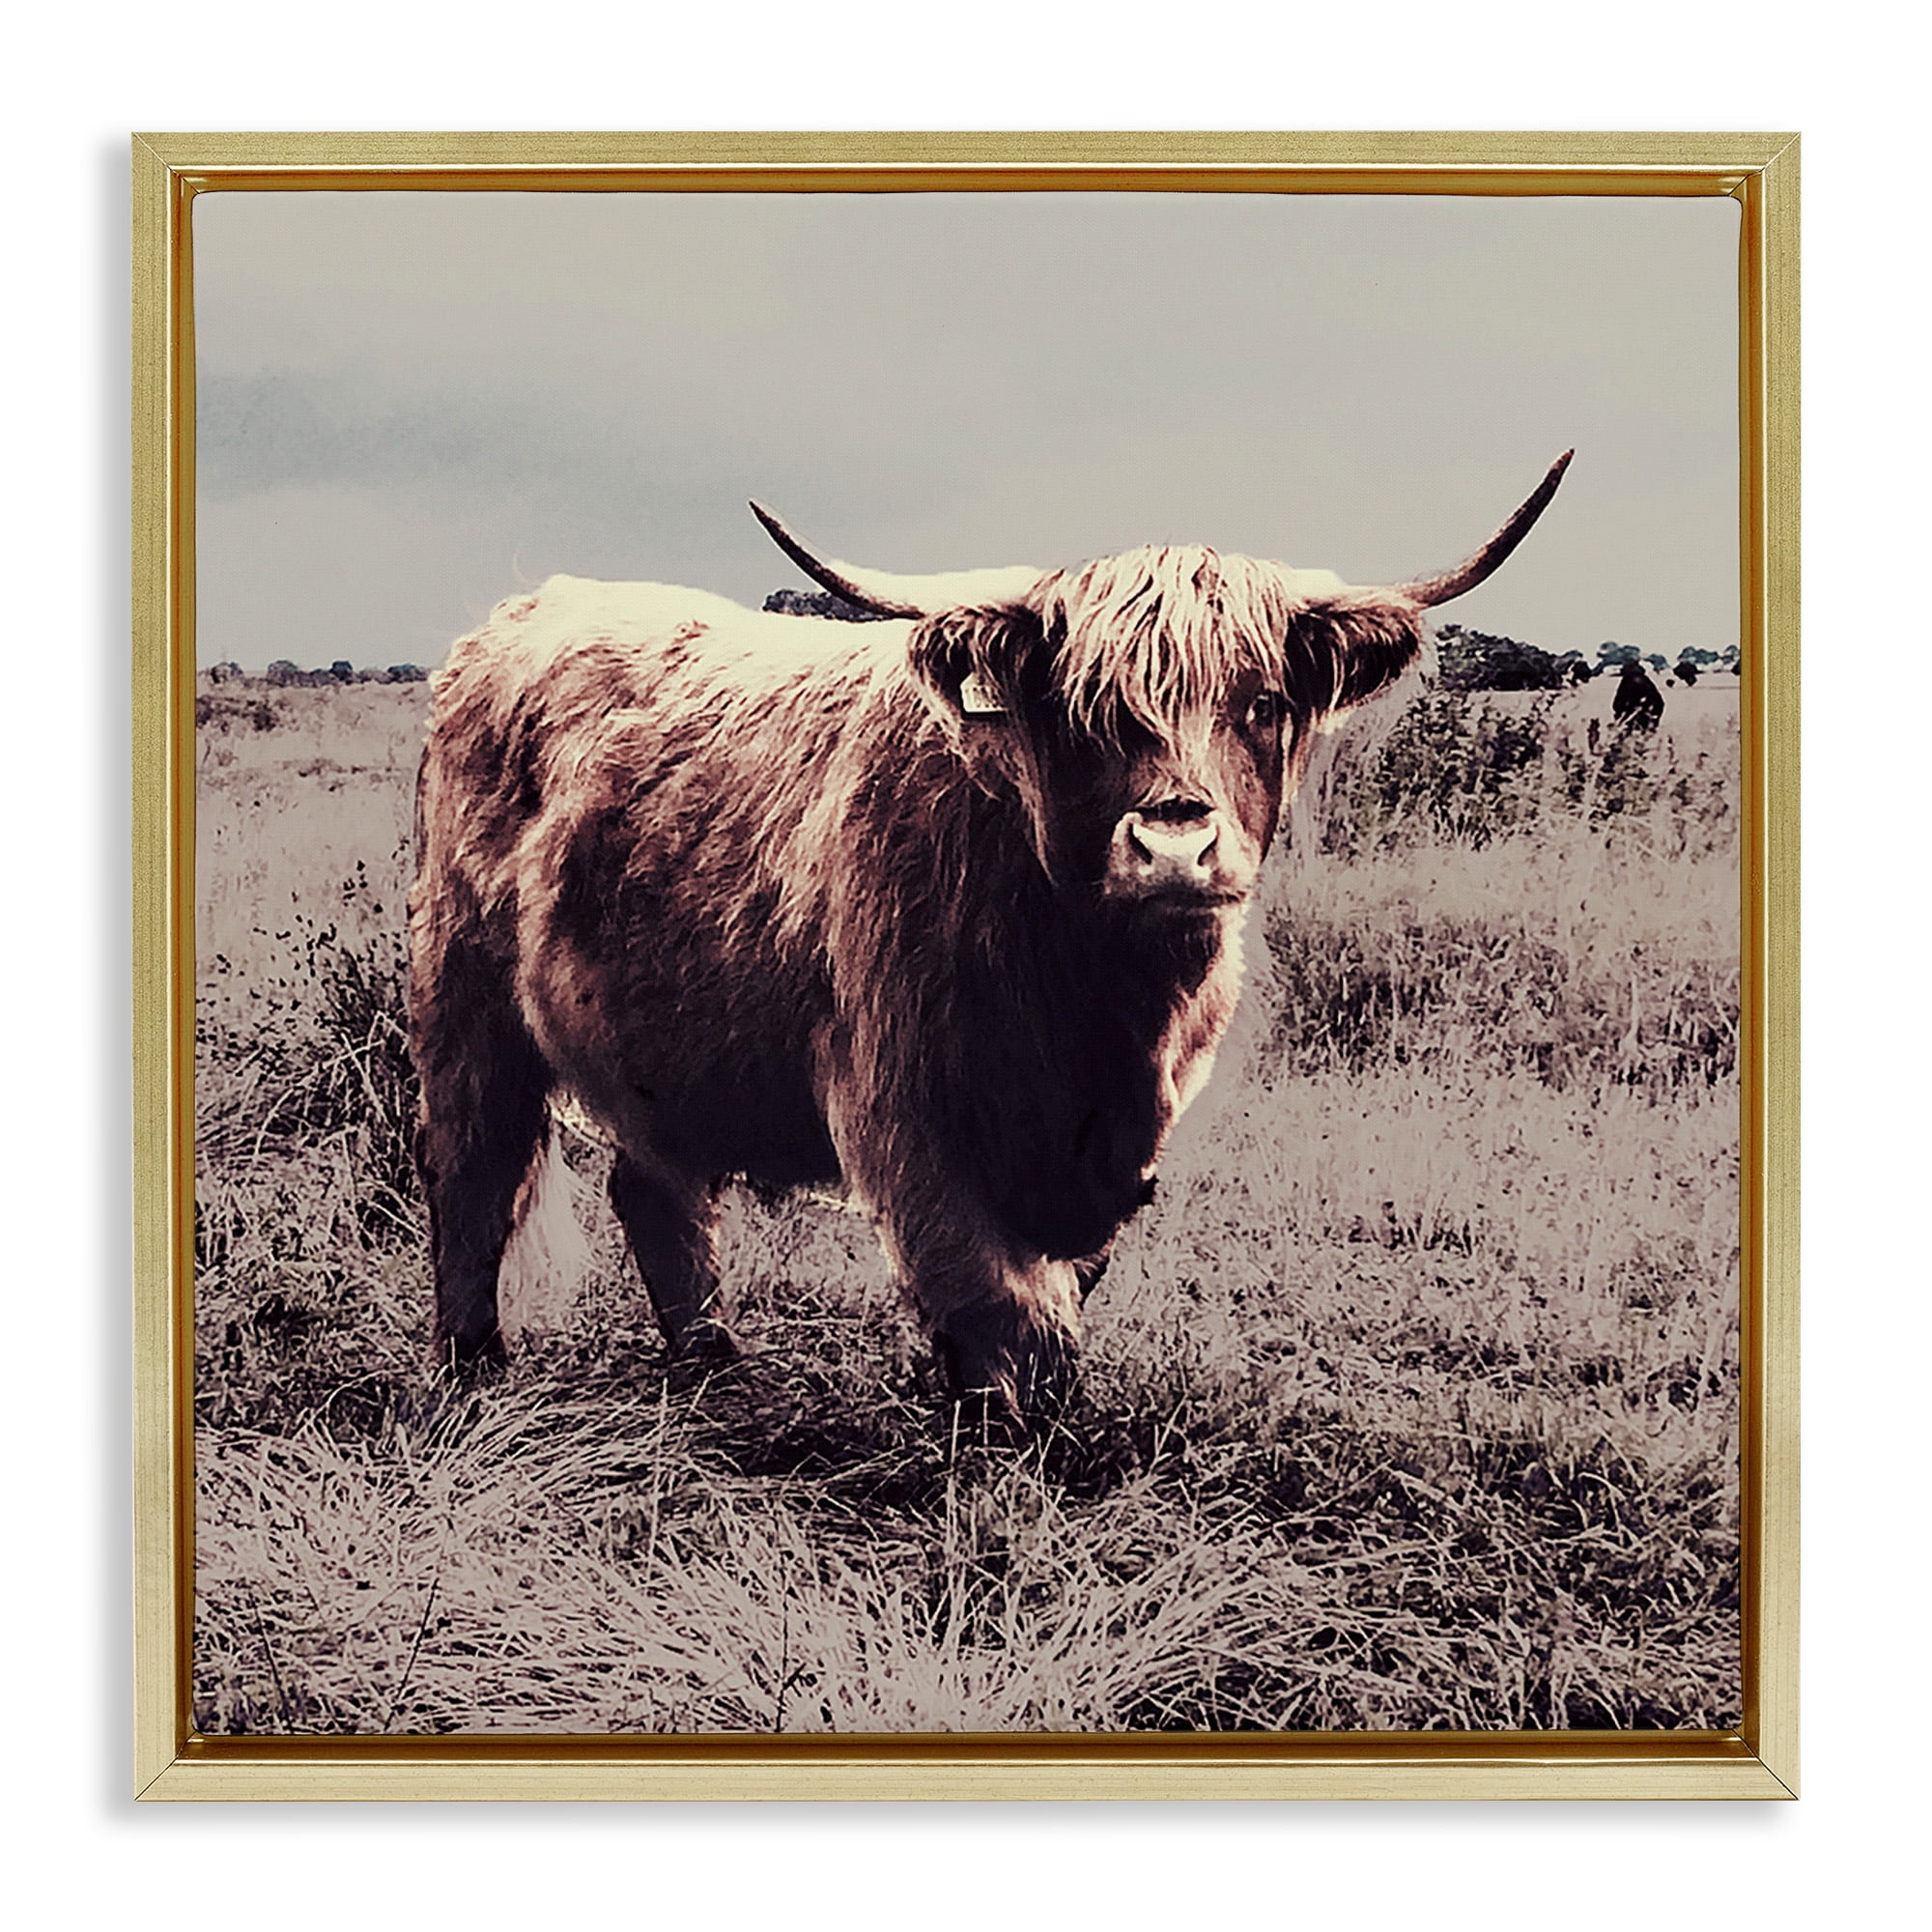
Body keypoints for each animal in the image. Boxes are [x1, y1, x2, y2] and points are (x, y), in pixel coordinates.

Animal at [408, 453, 1571, 1423]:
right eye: (1084, 711)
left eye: (1263, 700)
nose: (1173, 845)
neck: (1097, 1005)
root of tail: (522, 612)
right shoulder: (903, 1104)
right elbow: (993, 1297)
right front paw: (1000, 1435)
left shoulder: (1118, 1142)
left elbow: (1058, 1289)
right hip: (463, 997)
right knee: (472, 1169)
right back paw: (474, 1369)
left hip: (658, 1042)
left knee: (655, 1187)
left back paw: (714, 1368)